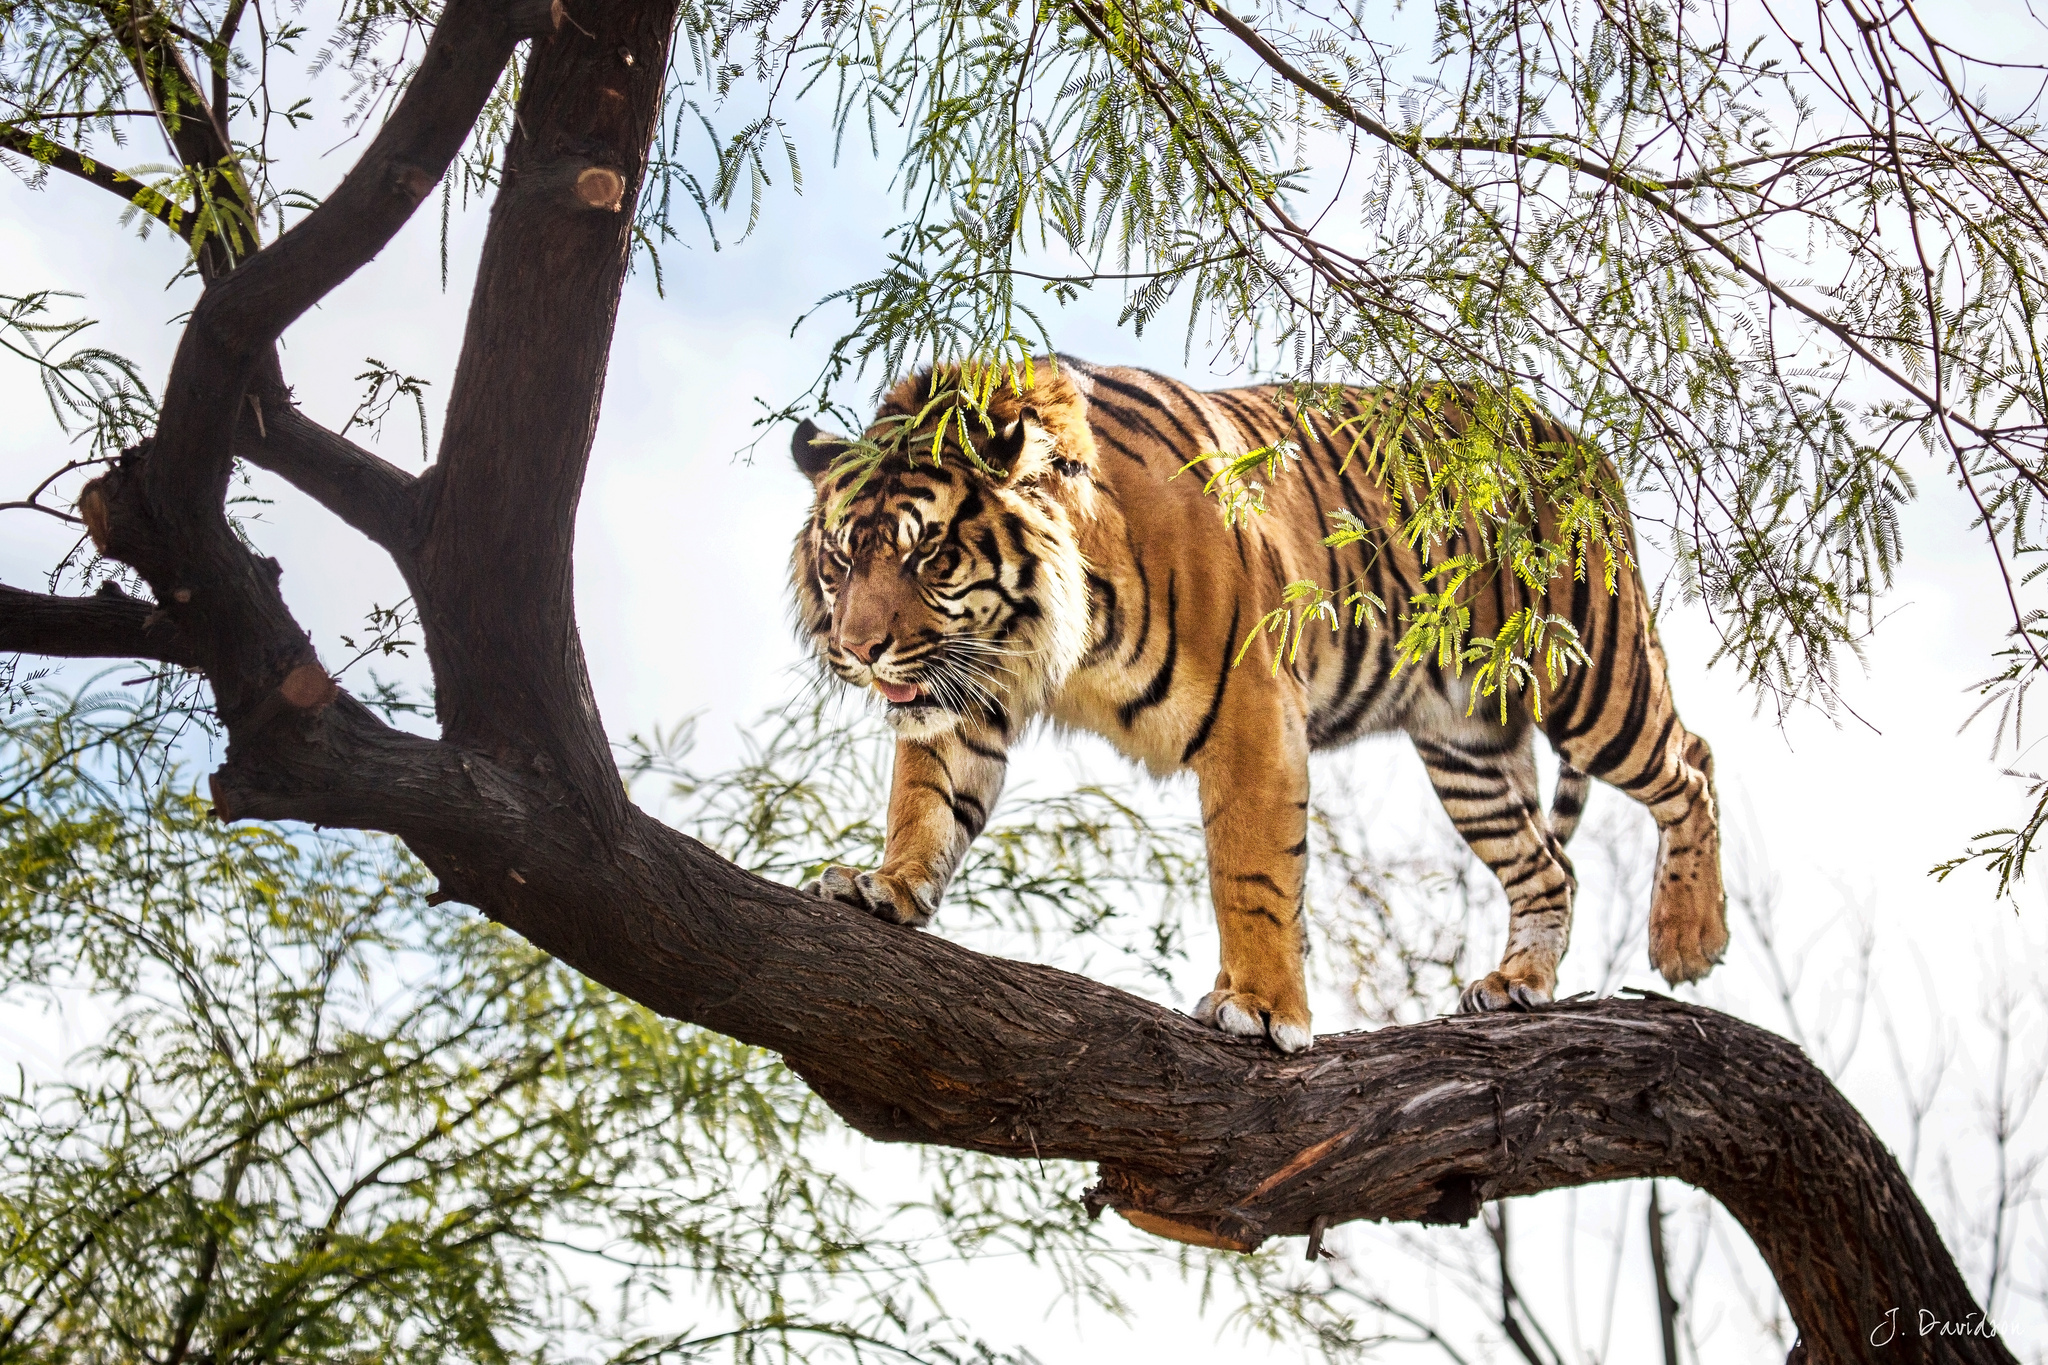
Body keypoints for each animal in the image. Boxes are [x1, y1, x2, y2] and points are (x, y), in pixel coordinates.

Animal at [790, 358, 1720, 1055]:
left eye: (930, 555)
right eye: (841, 560)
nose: (860, 649)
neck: (1050, 634)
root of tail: (1579, 441)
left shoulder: (1252, 712)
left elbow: (1253, 872)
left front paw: (1266, 1011)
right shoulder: (965, 689)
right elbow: (926, 800)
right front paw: (884, 886)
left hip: (1592, 681)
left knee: (1692, 763)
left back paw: (1687, 938)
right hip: (1467, 748)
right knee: (1549, 866)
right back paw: (1518, 984)